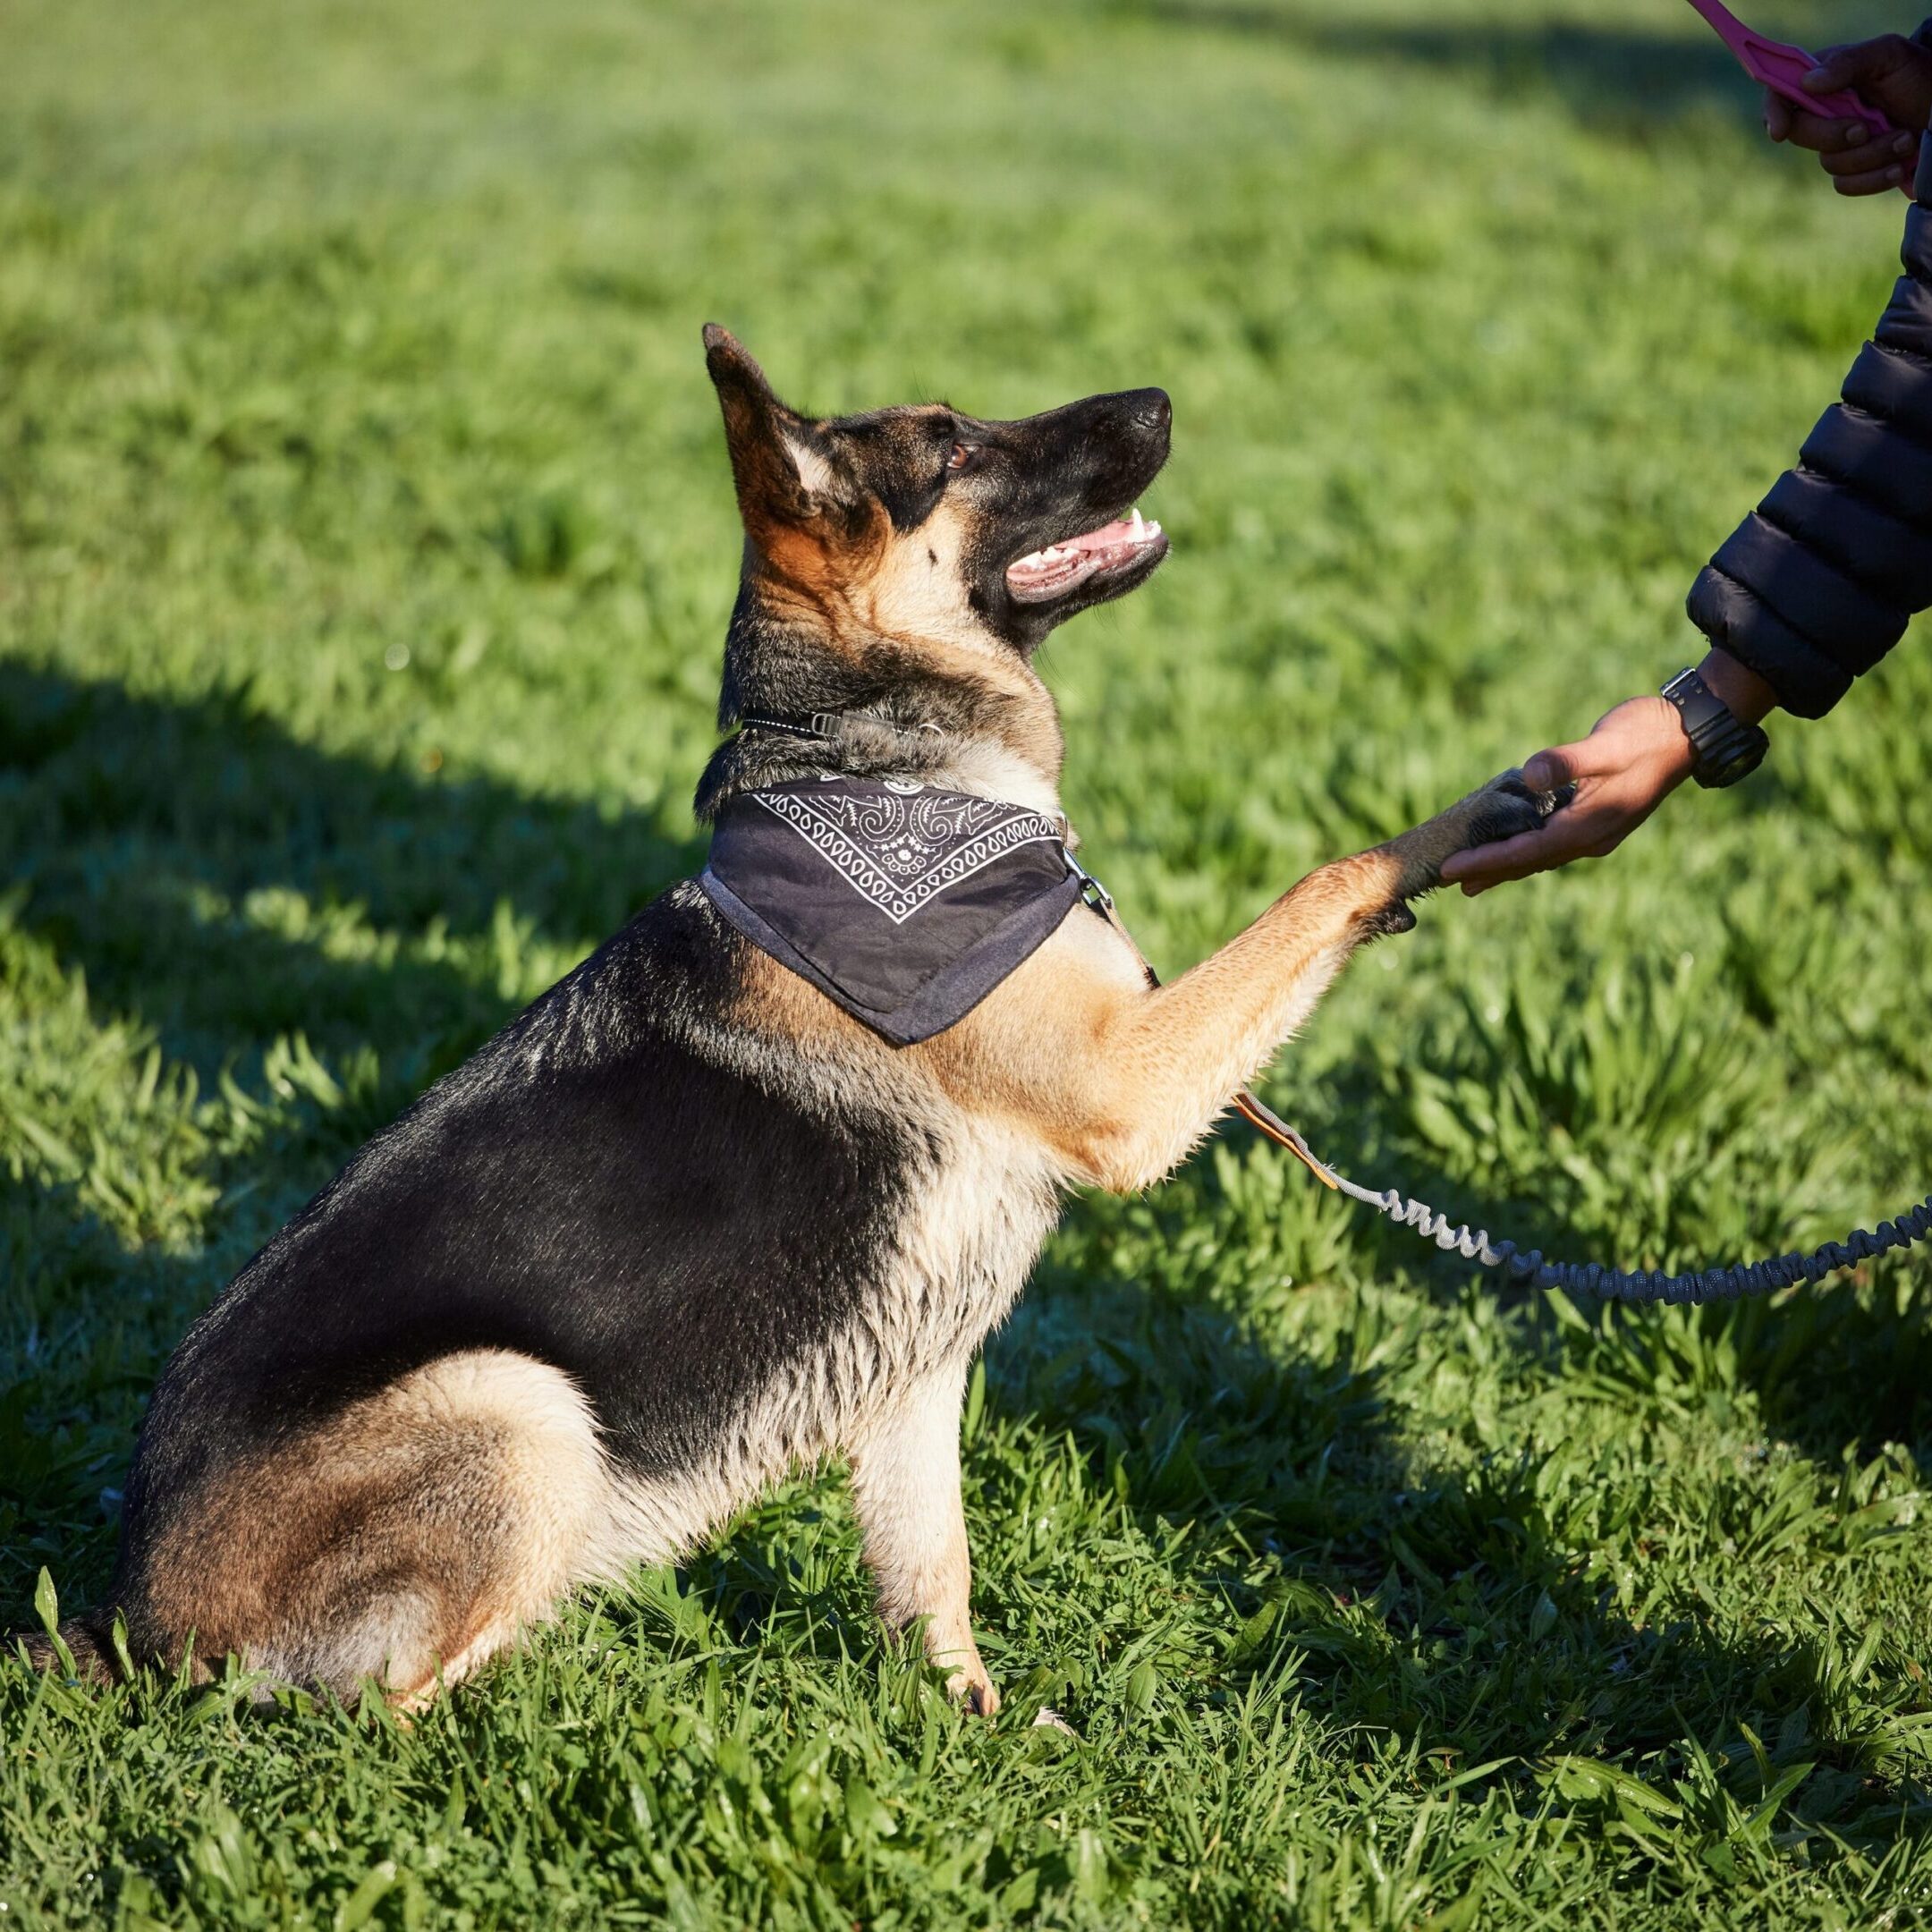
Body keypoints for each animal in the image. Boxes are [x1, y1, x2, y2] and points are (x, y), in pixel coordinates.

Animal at [14, 328, 1538, 1707]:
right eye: (957, 448)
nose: (1162, 395)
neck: (876, 767)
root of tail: (129, 1624)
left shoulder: (917, 1368)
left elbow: (930, 1567)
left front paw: (967, 1727)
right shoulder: (1129, 1090)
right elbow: (1329, 871)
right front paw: (1490, 808)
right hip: (518, 1403)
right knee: (385, 1709)